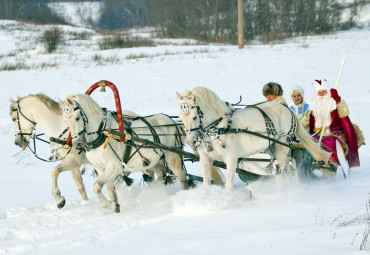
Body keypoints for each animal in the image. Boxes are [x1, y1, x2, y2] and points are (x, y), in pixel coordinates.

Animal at [59, 94, 224, 212]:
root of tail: (174, 123)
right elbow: (108, 189)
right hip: (155, 162)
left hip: (173, 158)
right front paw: (114, 205)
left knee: (182, 177)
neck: (103, 134)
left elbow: (96, 187)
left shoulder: (114, 167)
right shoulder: (102, 169)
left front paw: (111, 205)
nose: (77, 143)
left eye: (77, 118)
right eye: (65, 121)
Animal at [175, 87, 330, 189]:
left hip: (282, 144)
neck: (219, 127)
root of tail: (287, 110)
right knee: (289, 164)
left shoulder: (231, 159)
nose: (191, 141)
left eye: (194, 117)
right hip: (271, 147)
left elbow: (229, 186)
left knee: (281, 169)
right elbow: (206, 186)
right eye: (181, 117)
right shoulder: (205, 160)